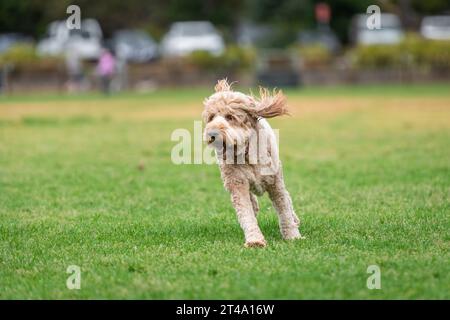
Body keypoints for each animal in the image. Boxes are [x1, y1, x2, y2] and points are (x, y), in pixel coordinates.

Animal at [203, 79, 302, 248]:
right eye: (211, 117)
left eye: (230, 117)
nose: (212, 134)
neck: (247, 153)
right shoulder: (237, 183)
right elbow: (246, 213)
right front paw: (255, 240)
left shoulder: (275, 183)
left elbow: (284, 210)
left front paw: (292, 236)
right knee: (253, 203)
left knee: (287, 199)